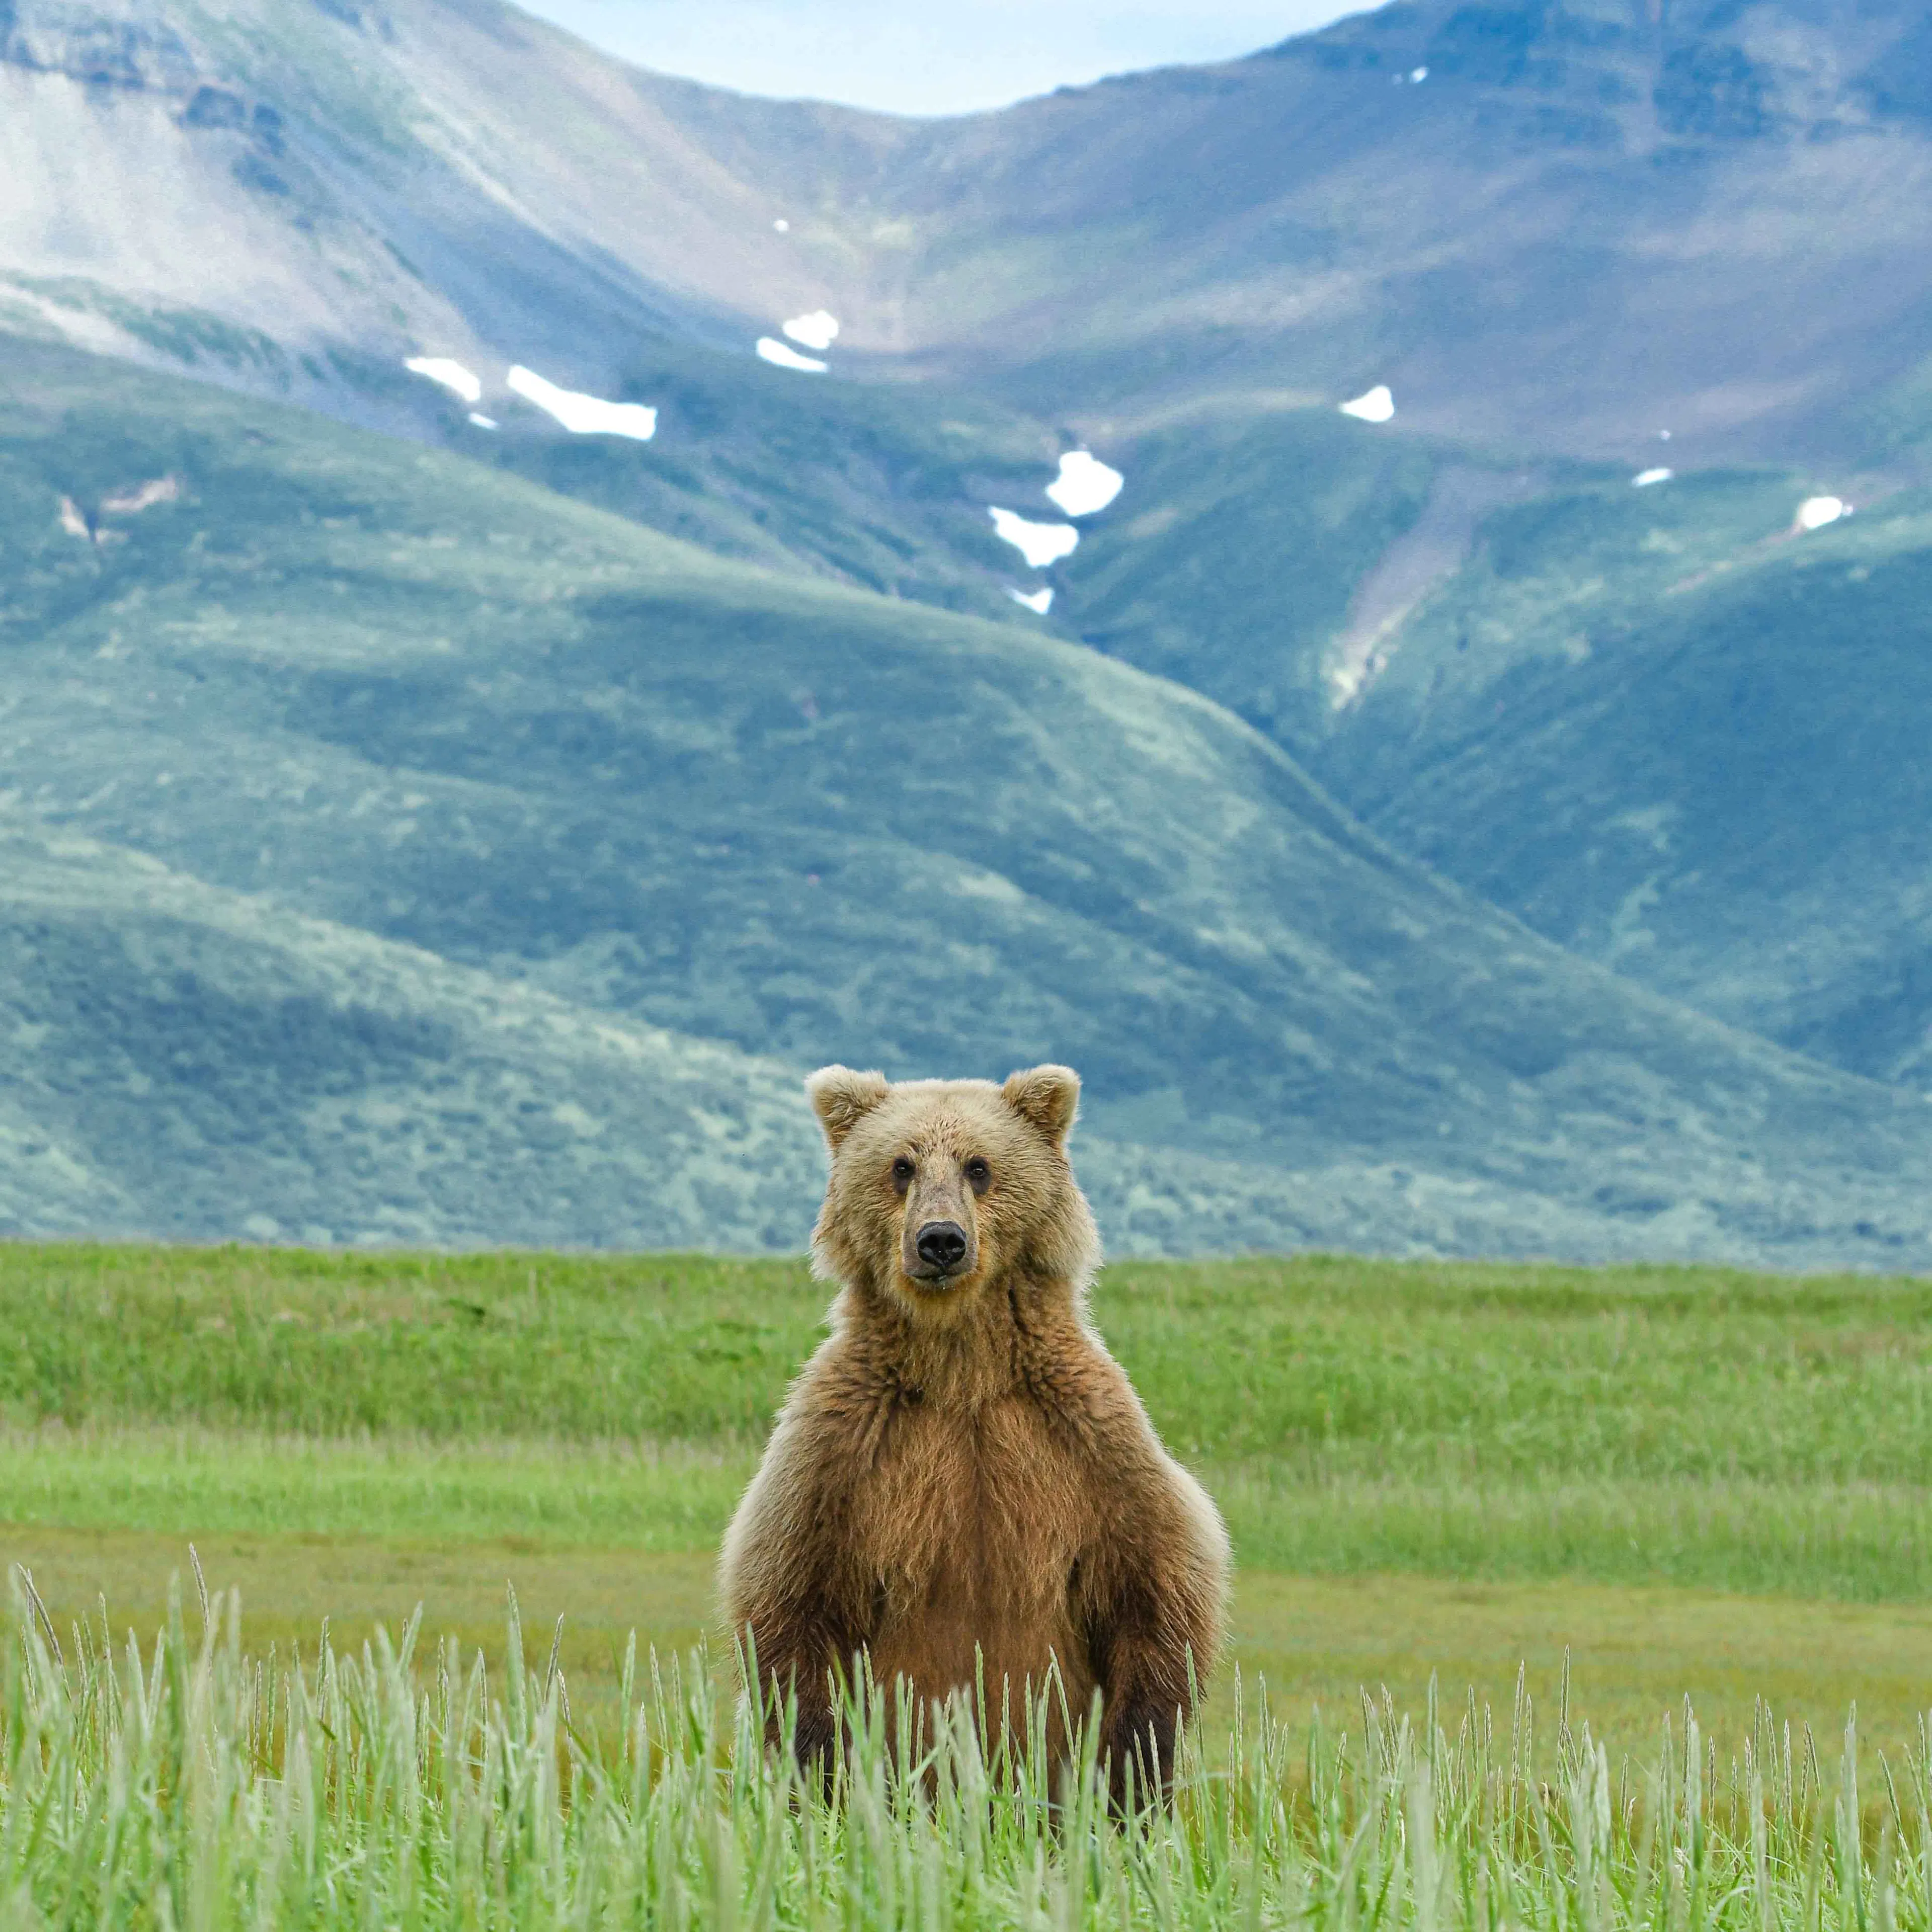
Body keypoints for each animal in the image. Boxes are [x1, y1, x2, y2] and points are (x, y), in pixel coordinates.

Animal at [718, 1062, 1229, 1803]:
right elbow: (789, 1600)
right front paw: (825, 1768)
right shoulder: (840, 1445)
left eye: (979, 1166)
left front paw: (1130, 1771)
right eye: (901, 1166)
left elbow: (1158, 1584)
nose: (940, 1240)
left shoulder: (1090, 1435)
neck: (963, 1366)